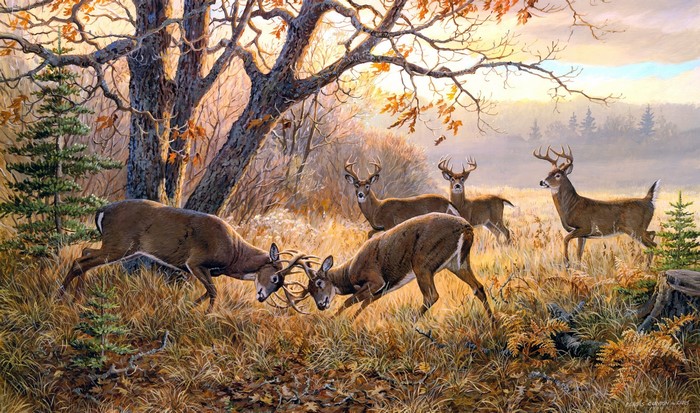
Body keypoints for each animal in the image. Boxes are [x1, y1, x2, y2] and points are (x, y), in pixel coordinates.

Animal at [59, 199, 312, 313]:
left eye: (279, 285)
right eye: (276, 278)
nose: (261, 297)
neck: (234, 255)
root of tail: (102, 211)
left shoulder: (206, 270)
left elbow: (207, 291)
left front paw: (190, 307)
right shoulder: (195, 261)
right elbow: (213, 291)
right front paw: (207, 314)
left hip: (116, 246)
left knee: (85, 253)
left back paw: (77, 297)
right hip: (119, 244)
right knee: (81, 260)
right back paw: (62, 295)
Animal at [298, 212, 494, 321]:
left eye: (319, 283)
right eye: (309, 291)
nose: (321, 305)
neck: (349, 272)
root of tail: (467, 227)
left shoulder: (376, 280)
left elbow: (349, 301)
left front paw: (333, 321)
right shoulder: (384, 288)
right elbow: (364, 303)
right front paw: (346, 321)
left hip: (422, 262)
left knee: (432, 295)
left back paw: (410, 323)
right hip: (458, 263)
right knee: (478, 287)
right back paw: (494, 323)